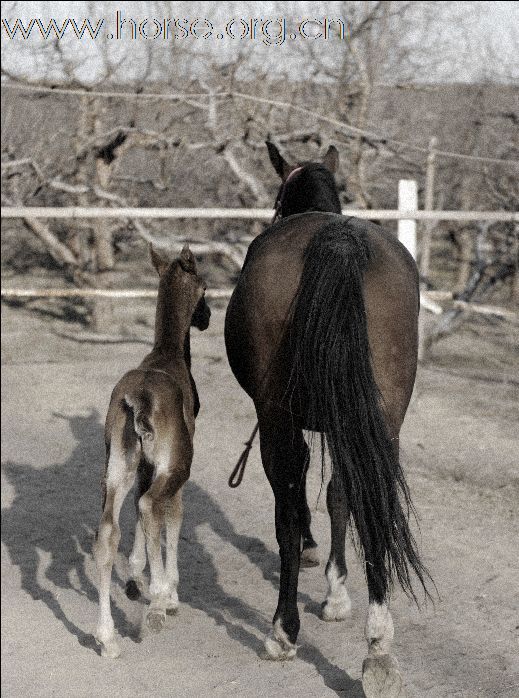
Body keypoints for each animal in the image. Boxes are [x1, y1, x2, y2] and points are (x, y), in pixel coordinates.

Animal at [93, 242, 209, 656]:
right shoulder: (171, 469)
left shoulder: (143, 467)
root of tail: (139, 397)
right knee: (149, 507)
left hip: (116, 466)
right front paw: (168, 595)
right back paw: (157, 604)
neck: (166, 354)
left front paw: (134, 576)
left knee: (108, 530)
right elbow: (173, 517)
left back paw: (107, 637)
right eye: (205, 287)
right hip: (173, 465)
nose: (207, 318)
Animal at [225, 143, 432, 692]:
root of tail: (338, 241)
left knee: (287, 500)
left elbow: (299, 497)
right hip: (382, 416)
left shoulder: (282, 418)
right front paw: (337, 593)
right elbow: (341, 493)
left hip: (277, 415)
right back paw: (378, 646)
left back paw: (282, 630)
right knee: (371, 497)